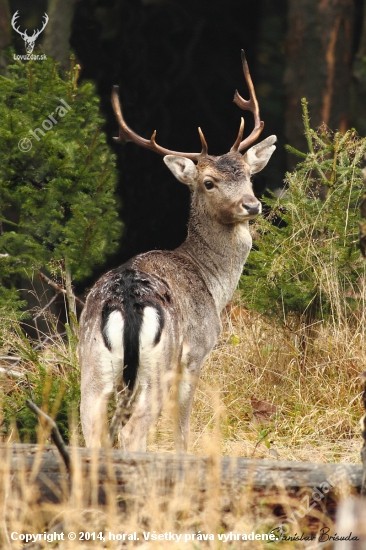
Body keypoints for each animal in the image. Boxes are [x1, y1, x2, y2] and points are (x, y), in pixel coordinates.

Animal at [78, 50, 276, 452]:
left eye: (249, 174)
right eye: (209, 182)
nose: (252, 205)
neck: (213, 284)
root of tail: (126, 302)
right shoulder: (196, 351)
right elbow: (182, 427)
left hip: (92, 364)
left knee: (92, 432)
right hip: (159, 363)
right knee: (134, 432)